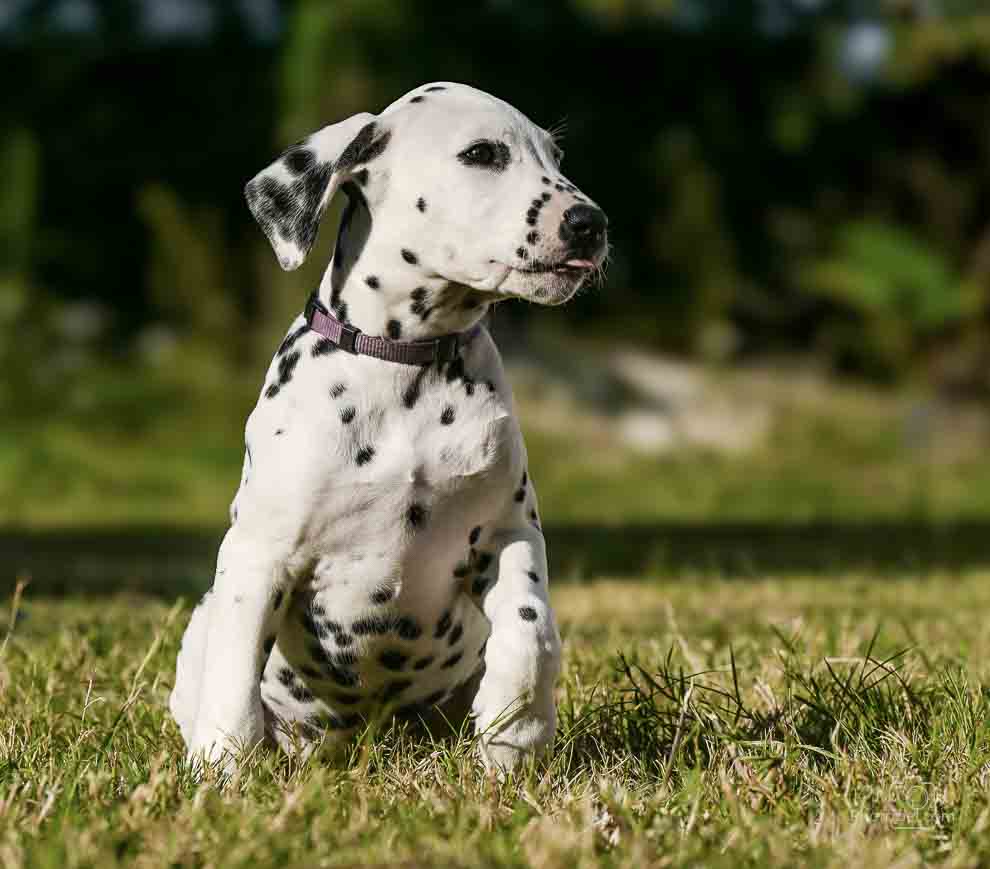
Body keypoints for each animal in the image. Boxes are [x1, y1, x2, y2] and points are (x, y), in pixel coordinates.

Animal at [168, 81, 608, 772]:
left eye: (555, 156)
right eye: (482, 154)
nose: (590, 223)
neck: (409, 364)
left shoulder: (508, 531)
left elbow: (533, 625)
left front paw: (518, 728)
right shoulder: (258, 556)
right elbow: (234, 676)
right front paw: (223, 771)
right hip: (202, 626)